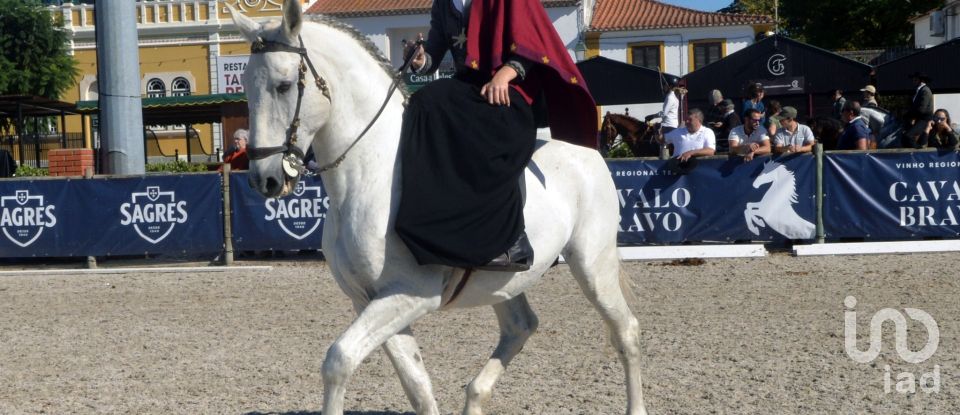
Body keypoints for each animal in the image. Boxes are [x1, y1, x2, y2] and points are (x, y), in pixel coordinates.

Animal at [231, 1, 644, 414]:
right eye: (247, 88)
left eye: (284, 85)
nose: (264, 179)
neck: (374, 170)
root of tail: (588, 152)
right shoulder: (370, 299)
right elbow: (417, 384)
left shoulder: (411, 293)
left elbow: (339, 359)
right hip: (507, 280)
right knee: (521, 325)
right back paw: (475, 397)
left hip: (592, 264)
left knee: (625, 331)